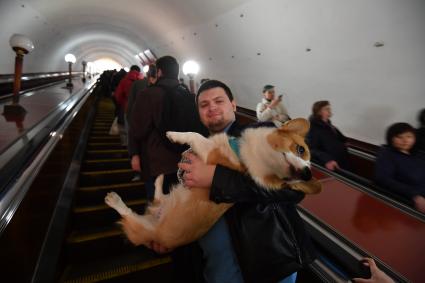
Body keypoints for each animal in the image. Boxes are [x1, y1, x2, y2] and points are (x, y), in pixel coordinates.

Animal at [106, 118, 322, 250]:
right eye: (301, 149)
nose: (307, 173)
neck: (247, 155)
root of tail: (155, 216)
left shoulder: (209, 154)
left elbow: (195, 135)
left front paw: (175, 135)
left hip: (142, 231)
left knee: (128, 216)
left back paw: (113, 200)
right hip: (159, 205)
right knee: (158, 196)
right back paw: (159, 180)